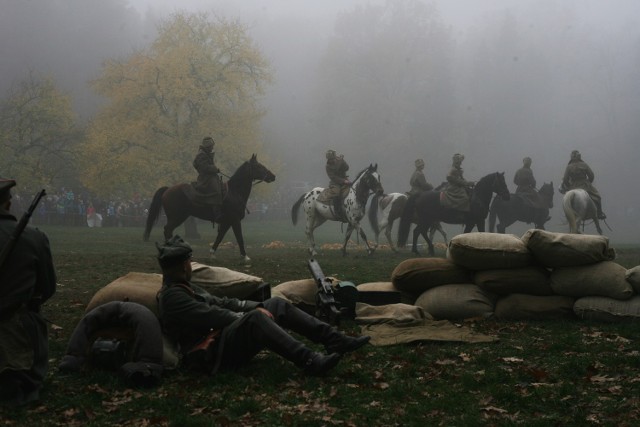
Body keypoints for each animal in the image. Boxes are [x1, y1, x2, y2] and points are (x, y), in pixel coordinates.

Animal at [142, 154, 276, 260]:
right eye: (259, 166)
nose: (273, 176)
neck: (235, 192)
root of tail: (168, 189)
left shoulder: (227, 222)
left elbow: (220, 237)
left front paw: (212, 253)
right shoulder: (235, 220)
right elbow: (239, 238)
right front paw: (245, 256)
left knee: (168, 230)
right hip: (176, 217)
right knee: (167, 230)